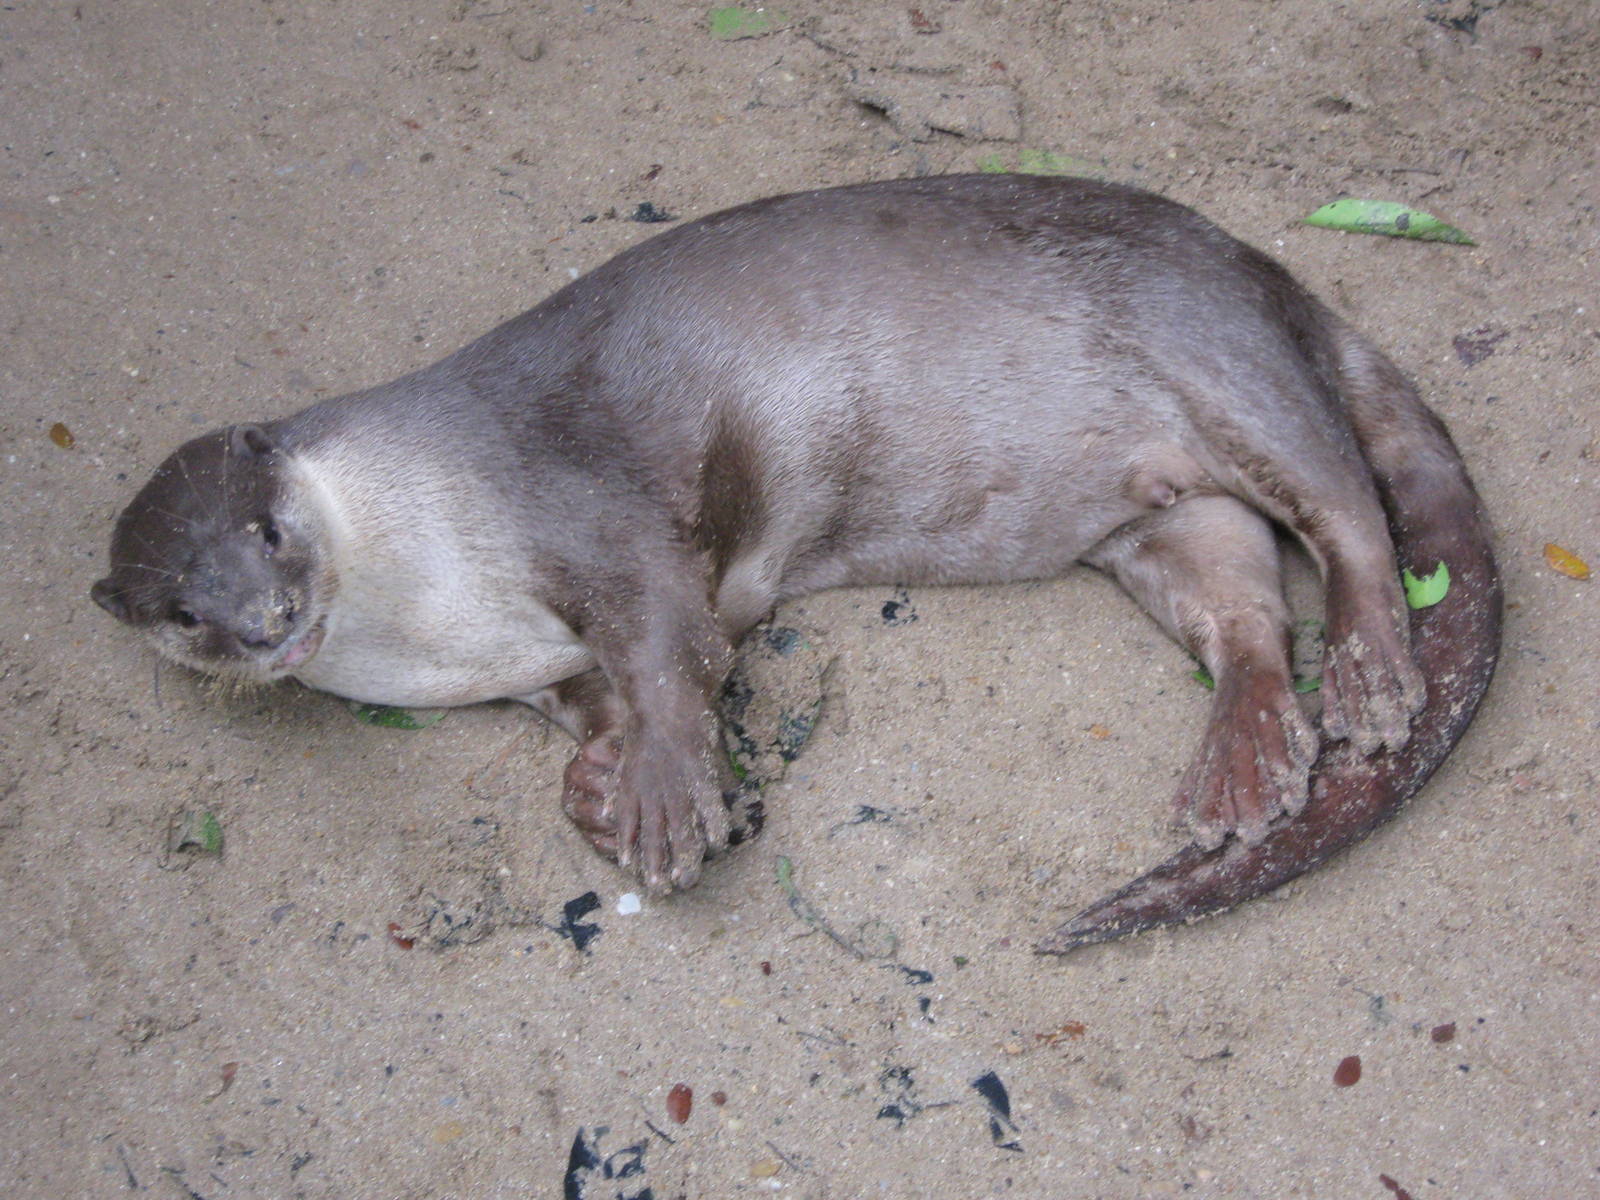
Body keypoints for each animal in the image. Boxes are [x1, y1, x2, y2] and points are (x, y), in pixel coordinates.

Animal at [91, 175, 1500, 953]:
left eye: (270, 529)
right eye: (180, 609)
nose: (264, 619)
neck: (433, 605)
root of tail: (1275, 276)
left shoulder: (581, 503)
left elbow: (670, 643)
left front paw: (662, 801)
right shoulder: (536, 669)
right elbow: (600, 705)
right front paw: (600, 790)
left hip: (1220, 355)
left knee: (1347, 513)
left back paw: (1372, 676)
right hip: (1156, 517)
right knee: (1245, 602)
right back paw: (1250, 757)